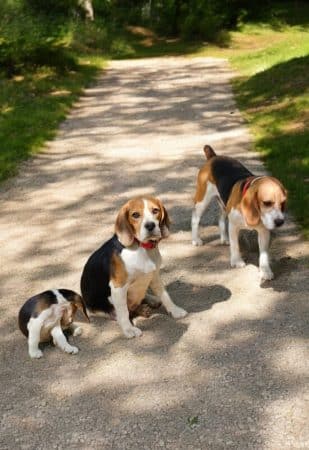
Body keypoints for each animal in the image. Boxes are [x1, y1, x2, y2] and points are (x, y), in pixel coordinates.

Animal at [79, 195, 186, 340]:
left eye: (155, 210)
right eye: (135, 215)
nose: (150, 225)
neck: (141, 247)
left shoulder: (154, 276)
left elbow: (165, 295)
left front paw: (174, 310)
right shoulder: (118, 287)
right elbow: (124, 311)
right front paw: (129, 329)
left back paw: (151, 301)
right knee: (121, 312)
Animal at [190, 147, 286, 282]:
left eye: (283, 203)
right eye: (267, 203)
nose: (280, 222)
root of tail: (214, 157)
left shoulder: (263, 231)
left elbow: (264, 254)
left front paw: (265, 271)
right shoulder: (234, 226)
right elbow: (235, 245)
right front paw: (237, 261)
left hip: (224, 204)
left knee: (220, 219)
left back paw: (224, 239)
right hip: (203, 200)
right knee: (195, 218)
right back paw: (196, 240)